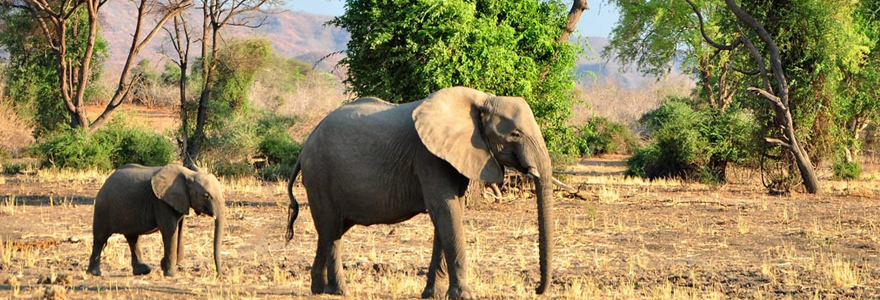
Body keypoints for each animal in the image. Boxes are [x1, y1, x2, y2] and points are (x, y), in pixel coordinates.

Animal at [87, 164, 225, 276]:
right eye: (206, 196)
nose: (219, 275)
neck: (189, 174)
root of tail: (106, 181)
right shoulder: (161, 202)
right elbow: (170, 231)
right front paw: (170, 274)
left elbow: (178, 229)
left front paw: (165, 265)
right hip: (103, 208)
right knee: (100, 238)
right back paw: (94, 273)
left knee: (133, 239)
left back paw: (143, 271)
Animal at [286, 85, 552, 298]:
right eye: (515, 134)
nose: (536, 289)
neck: (481, 99)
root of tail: (304, 148)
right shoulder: (429, 158)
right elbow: (446, 212)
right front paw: (464, 296)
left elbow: (449, 215)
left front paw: (433, 295)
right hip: (320, 175)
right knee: (331, 231)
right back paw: (339, 291)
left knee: (329, 229)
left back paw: (318, 289)